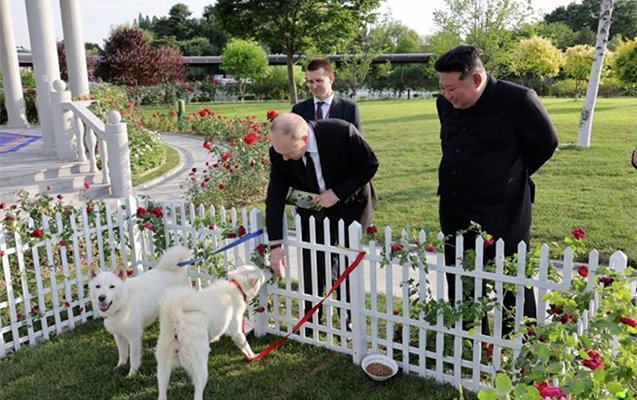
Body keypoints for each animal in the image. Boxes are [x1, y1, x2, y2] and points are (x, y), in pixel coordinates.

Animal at [88, 247, 191, 376]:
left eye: (112, 286)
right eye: (97, 286)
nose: (101, 297)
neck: (124, 302)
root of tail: (177, 269)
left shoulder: (134, 337)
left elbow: (133, 358)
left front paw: (131, 374)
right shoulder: (118, 336)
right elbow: (122, 353)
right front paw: (119, 367)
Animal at [157, 264, 274, 398]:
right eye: (262, 273)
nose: (271, 269)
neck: (236, 285)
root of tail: (177, 321)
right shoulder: (237, 332)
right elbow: (246, 346)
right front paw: (253, 356)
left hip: (163, 370)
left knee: (162, 393)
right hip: (200, 368)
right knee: (198, 392)